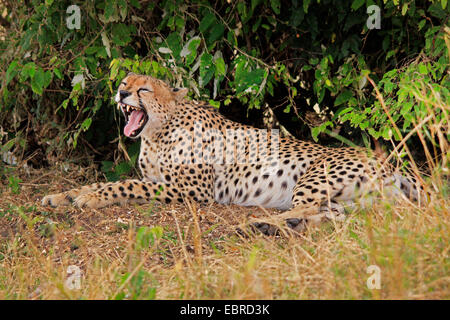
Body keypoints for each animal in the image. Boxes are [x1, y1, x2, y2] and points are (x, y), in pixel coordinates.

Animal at [40, 74, 424, 234]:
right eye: (123, 82)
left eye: (143, 89)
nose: (121, 93)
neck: (157, 133)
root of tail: (392, 162)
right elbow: (103, 182)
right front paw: (65, 196)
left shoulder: (192, 192)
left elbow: (124, 186)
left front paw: (88, 198)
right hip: (356, 200)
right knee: (336, 216)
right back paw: (273, 226)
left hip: (314, 176)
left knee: (311, 209)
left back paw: (258, 224)